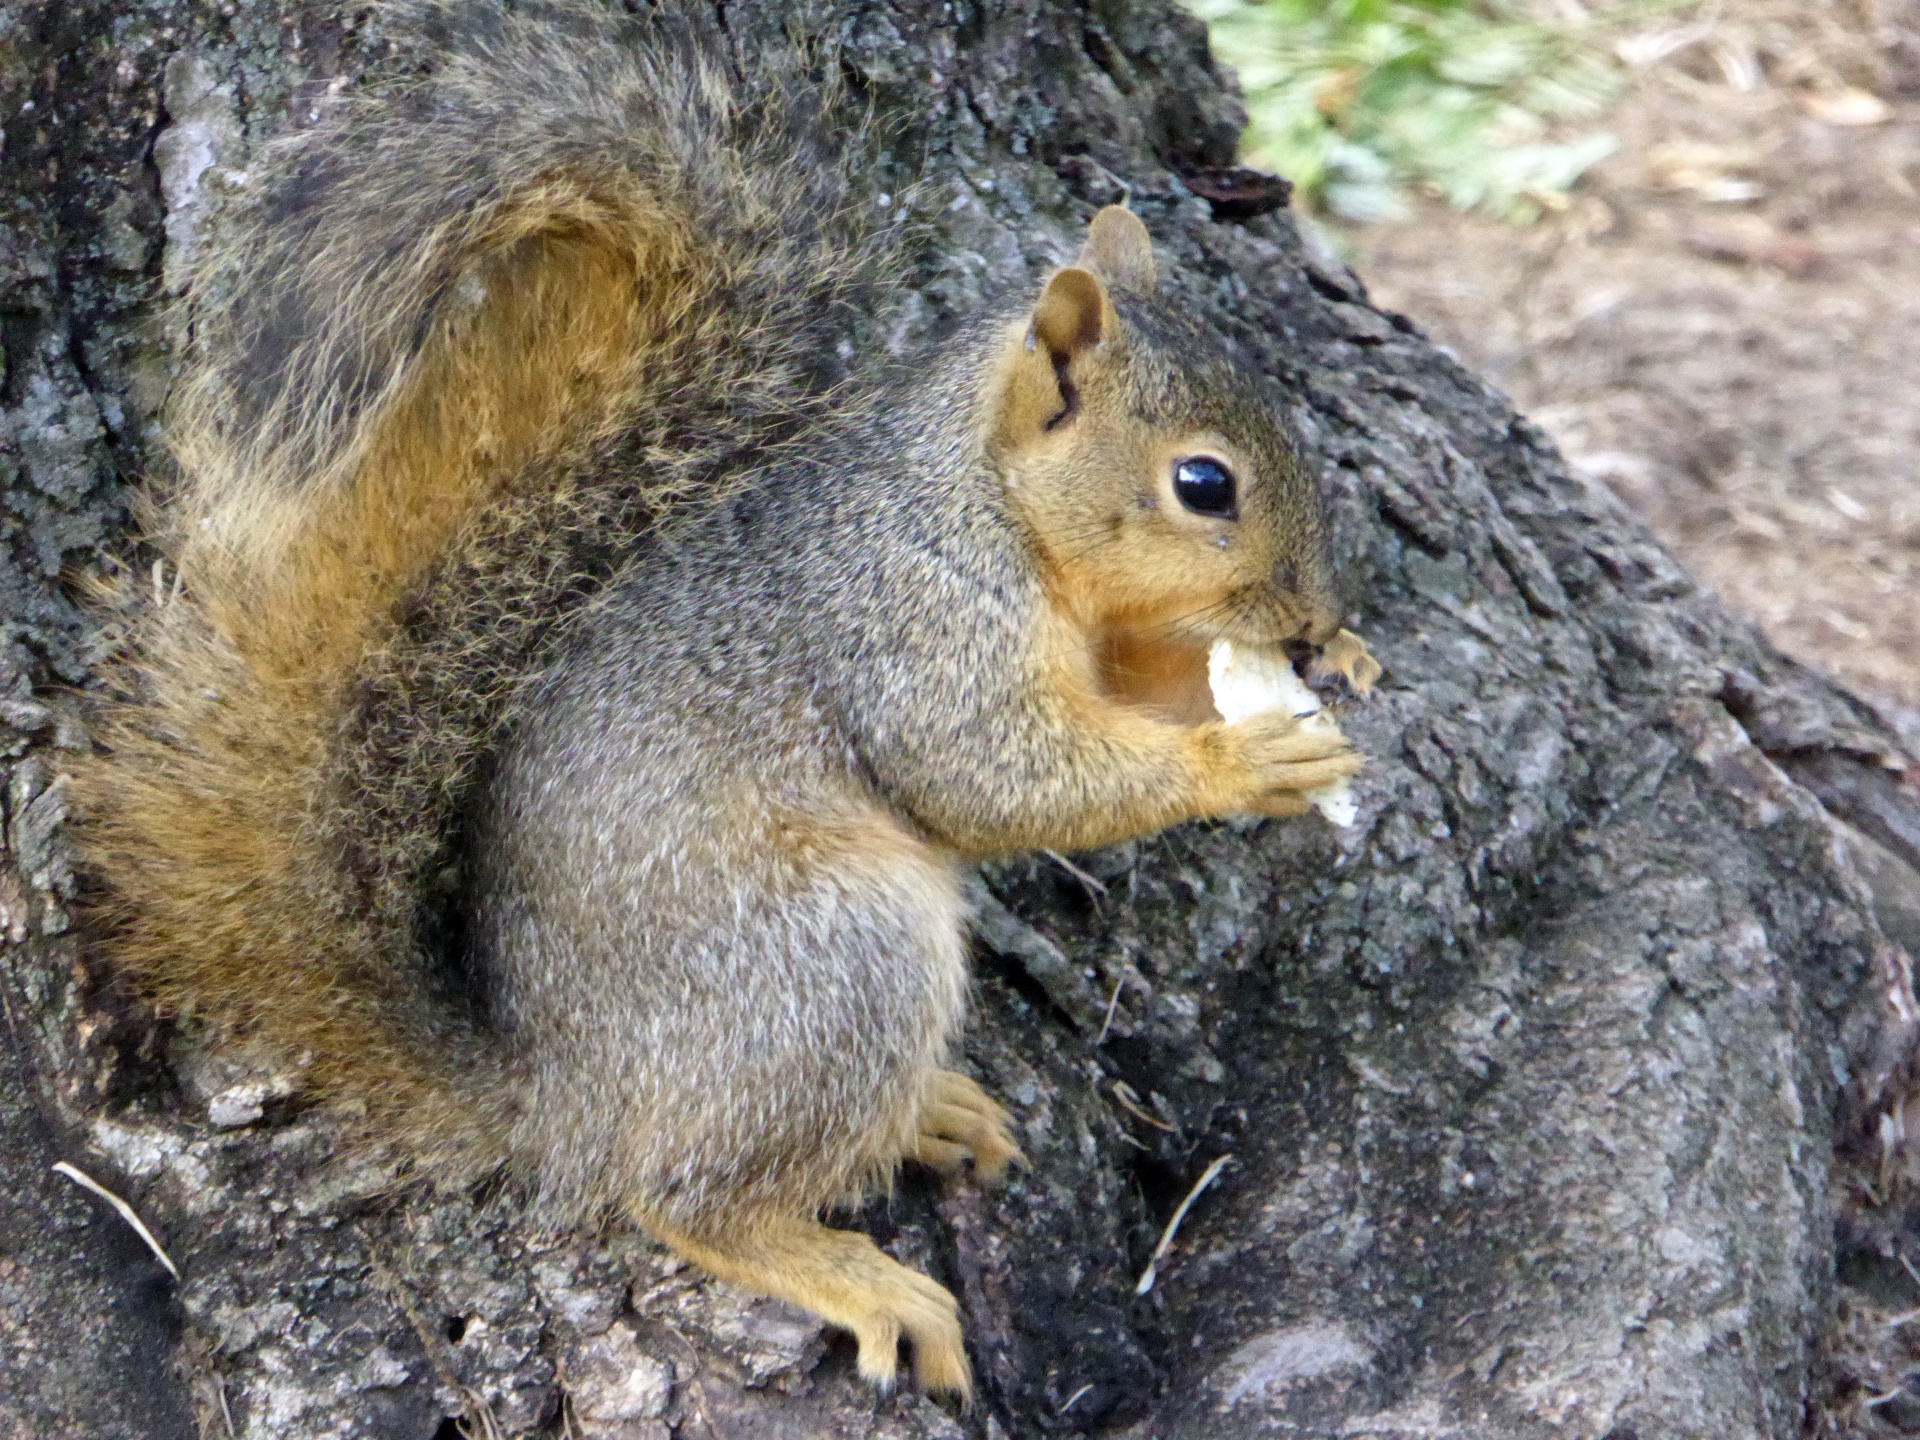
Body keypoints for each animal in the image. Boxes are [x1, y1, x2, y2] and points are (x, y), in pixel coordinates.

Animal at [74, 0, 1382, 1397]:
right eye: (1203, 484)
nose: (1309, 615)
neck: (985, 501)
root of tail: (568, 1100)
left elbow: (1134, 688)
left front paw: (1334, 662)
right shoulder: (907, 630)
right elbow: (995, 775)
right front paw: (1243, 762)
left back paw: (926, 1111)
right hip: (829, 962)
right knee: (689, 1200)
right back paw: (857, 1274)